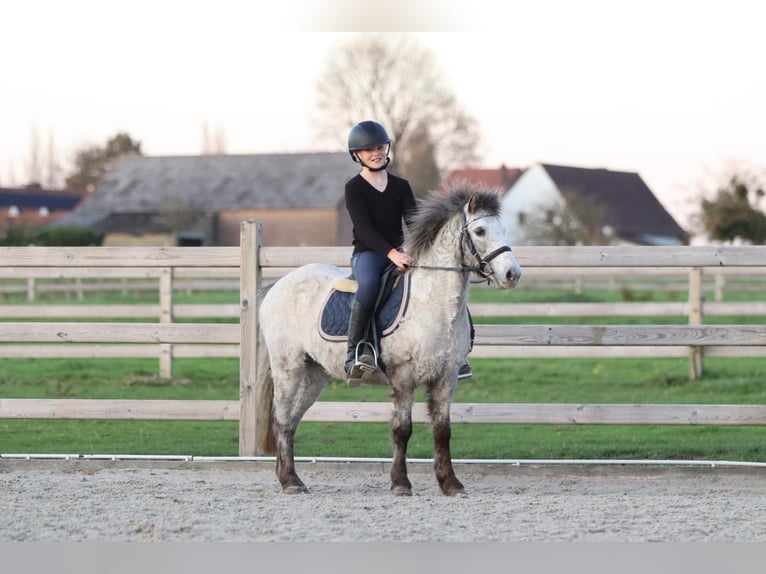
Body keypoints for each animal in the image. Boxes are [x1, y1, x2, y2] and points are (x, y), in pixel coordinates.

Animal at [254, 185, 522, 496]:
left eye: (503, 229)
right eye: (479, 231)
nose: (512, 274)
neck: (433, 302)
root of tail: (279, 284)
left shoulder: (446, 377)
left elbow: (442, 431)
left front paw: (451, 484)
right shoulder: (403, 376)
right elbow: (402, 430)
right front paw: (400, 483)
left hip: (314, 374)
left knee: (292, 420)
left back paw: (290, 477)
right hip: (289, 368)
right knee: (283, 418)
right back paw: (290, 482)